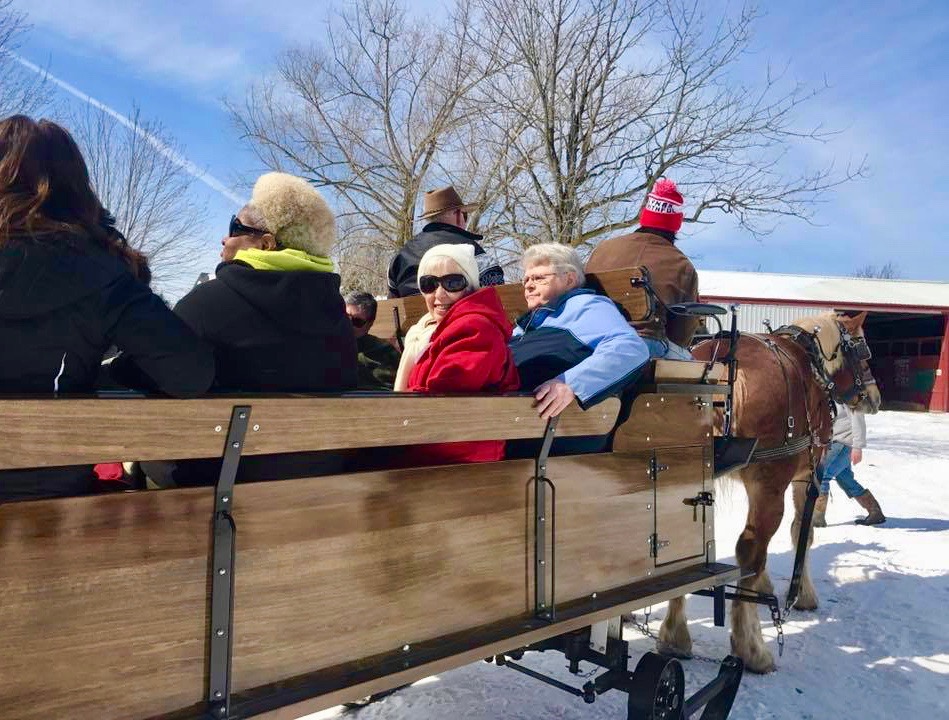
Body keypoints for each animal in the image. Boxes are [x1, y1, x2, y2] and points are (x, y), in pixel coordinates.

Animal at [656, 310, 876, 676]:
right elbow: (803, 533)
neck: (810, 360)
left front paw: (764, 585)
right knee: (750, 548)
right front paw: (802, 595)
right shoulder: (808, 475)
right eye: (863, 351)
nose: (874, 397)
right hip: (772, 479)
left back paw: (675, 637)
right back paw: (752, 648)